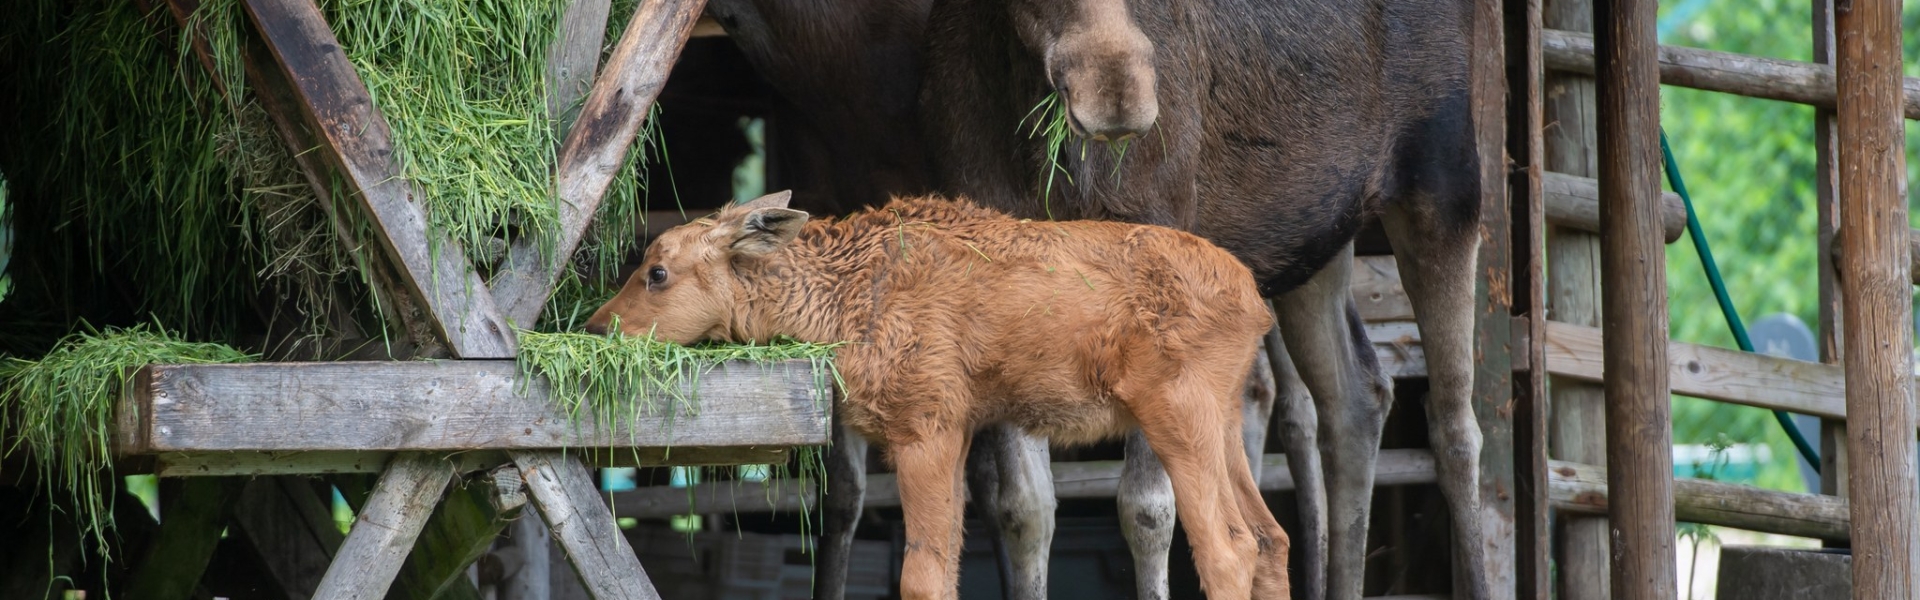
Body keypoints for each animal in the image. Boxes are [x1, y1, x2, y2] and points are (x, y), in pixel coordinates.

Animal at [587, 192, 1290, 600]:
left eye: (657, 272)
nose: (594, 326)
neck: (838, 308)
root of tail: (1258, 305)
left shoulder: (923, 425)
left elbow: (920, 577)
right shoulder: (956, 429)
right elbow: (945, 564)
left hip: (1177, 409)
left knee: (1227, 548)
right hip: (1224, 417)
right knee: (1270, 539)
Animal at [921, 1, 1489, 600]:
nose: (1117, 93)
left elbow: (1149, 507)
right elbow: (1024, 508)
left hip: (1445, 180)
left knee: (1455, 428)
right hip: (1317, 236)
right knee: (1355, 396)